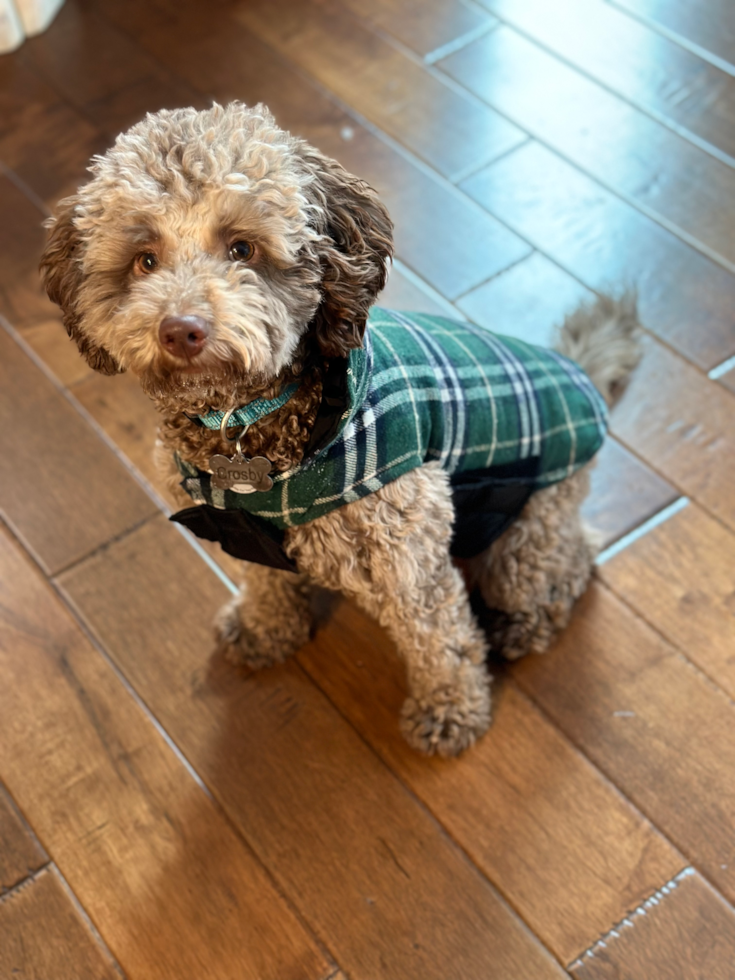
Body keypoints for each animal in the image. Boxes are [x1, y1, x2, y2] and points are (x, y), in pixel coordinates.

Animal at [40, 99, 640, 756]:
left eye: (242, 248)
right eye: (144, 259)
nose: (181, 330)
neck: (250, 422)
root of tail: (581, 376)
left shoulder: (408, 553)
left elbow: (440, 639)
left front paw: (450, 710)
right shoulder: (241, 530)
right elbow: (267, 583)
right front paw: (265, 630)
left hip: (530, 528)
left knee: (572, 560)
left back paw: (525, 621)